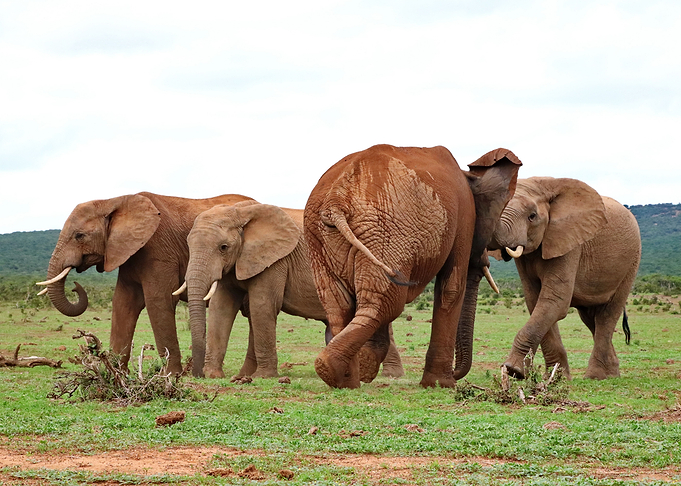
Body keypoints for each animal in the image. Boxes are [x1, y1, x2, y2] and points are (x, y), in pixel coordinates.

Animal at [37, 192, 254, 374]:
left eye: (79, 235)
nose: (75, 286)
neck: (114, 200)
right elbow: (123, 303)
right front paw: (115, 372)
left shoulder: (159, 250)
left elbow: (159, 301)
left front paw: (171, 375)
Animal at [178, 200, 405, 379]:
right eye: (188, 245)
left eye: (223, 247)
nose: (195, 373)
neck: (241, 212)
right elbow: (221, 308)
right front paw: (214, 375)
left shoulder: (276, 260)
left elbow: (262, 306)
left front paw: (262, 377)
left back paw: (387, 375)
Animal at [304, 144, 522, 389]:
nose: (456, 373)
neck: (469, 175)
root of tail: (335, 201)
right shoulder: (465, 217)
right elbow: (451, 289)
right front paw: (442, 385)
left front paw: (369, 365)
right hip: (385, 231)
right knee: (387, 303)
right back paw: (337, 371)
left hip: (322, 235)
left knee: (340, 305)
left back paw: (344, 380)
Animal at [488, 177, 641, 380]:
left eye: (532, 216)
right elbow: (535, 301)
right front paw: (556, 379)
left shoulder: (569, 242)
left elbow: (554, 301)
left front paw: (513, 371)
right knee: (590, 318)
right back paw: (611, 375)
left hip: (631, 262)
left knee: (606, 315)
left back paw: (596, 376)